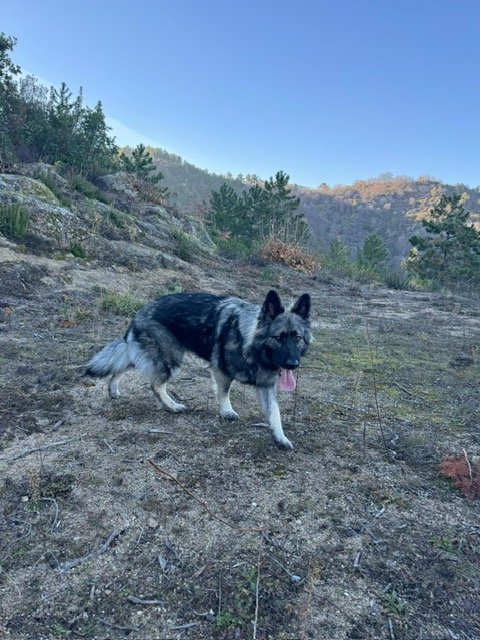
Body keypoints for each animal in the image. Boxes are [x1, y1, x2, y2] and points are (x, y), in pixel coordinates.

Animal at [85, 289, 311, 449]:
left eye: (297, 337)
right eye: (279, 337)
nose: (293, 364)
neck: (249, 340)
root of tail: (140, 312)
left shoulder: (266, 384)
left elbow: (275, 412)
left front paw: (280, 437)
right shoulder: (221, 372)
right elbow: (224, 392)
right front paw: (226, 411)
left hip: (148, 354)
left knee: (122, 364)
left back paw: (113, 389)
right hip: (171, 359)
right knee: (156, 385)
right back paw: (172, 406)